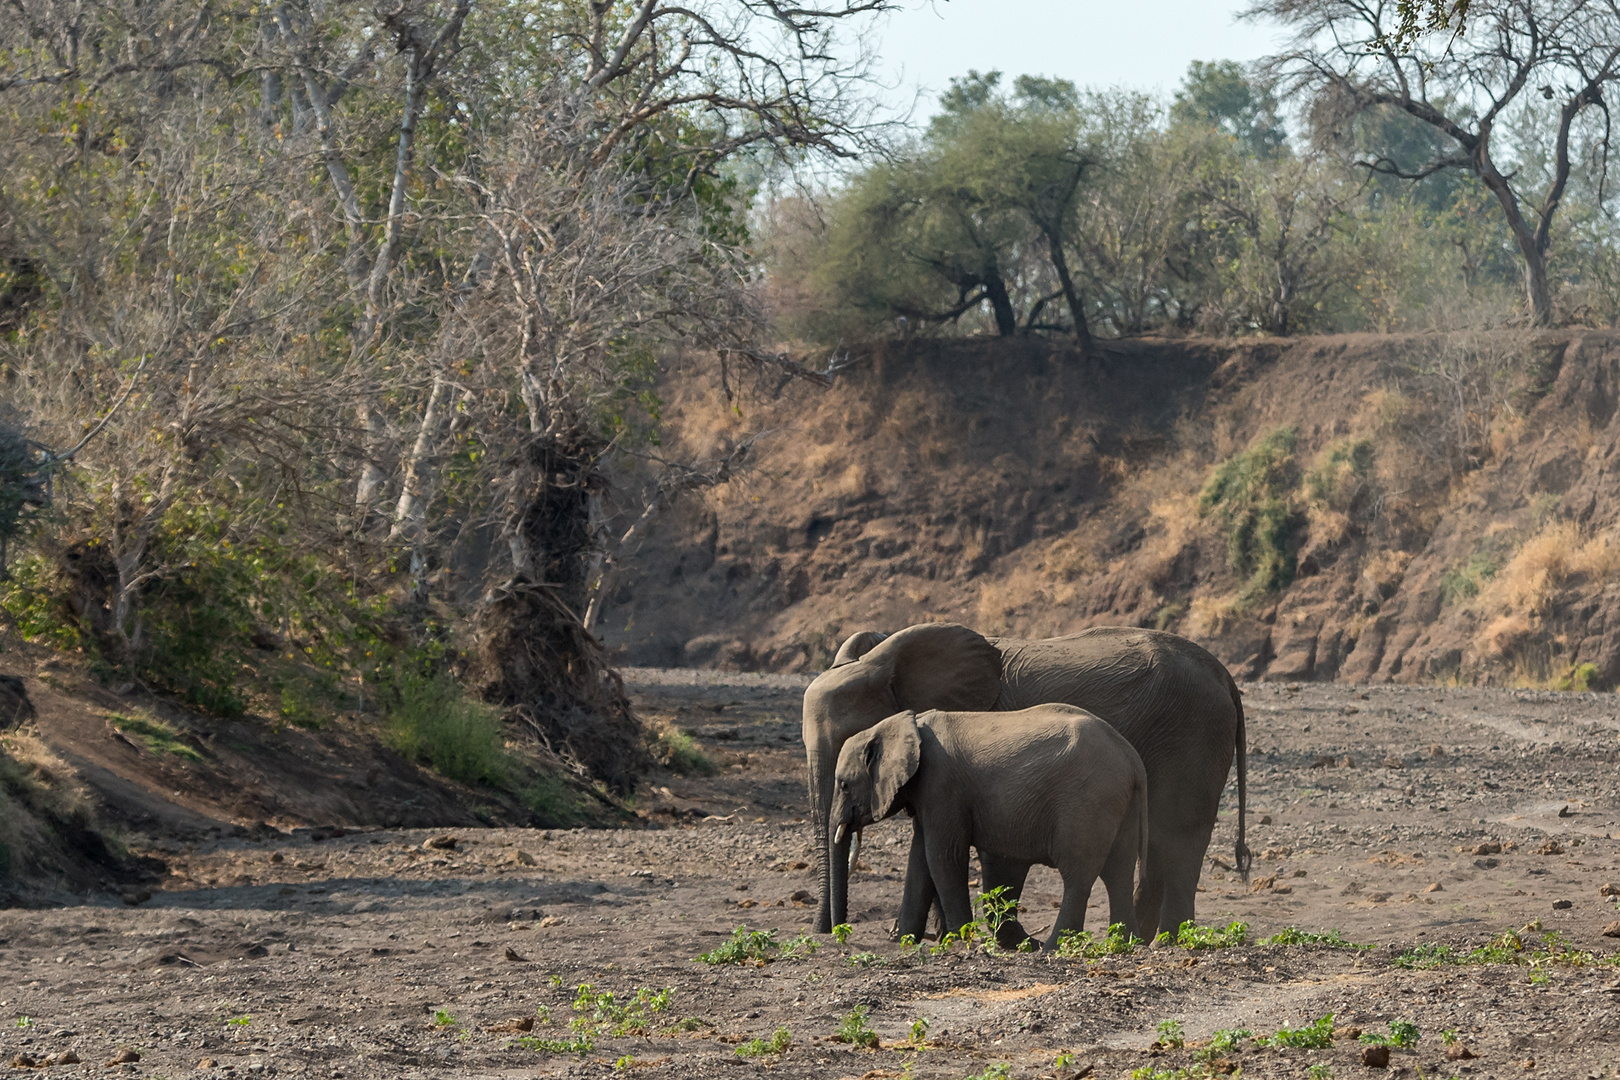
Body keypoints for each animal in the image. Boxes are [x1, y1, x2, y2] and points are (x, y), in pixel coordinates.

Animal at [835, 705, 1153, 952]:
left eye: (844, 785)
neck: (905, 722)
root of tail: (1133, 759)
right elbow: (920, 860)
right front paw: (905, 942)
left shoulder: (942, 787)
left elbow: (943, 856)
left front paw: (962, 940)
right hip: (1119, 801)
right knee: (1118, 872)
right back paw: (1126, 944)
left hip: (1087, 802)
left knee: (1079, 874)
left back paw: (1050, 949)